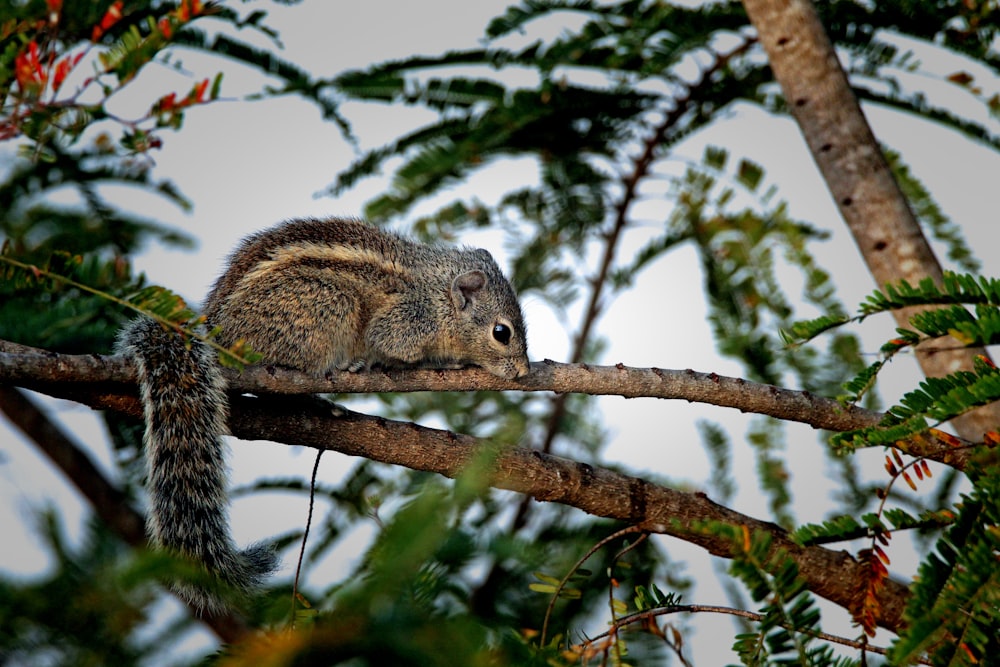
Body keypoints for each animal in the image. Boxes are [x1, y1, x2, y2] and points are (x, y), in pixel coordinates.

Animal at [119, 217, 532, 612]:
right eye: (502, 332)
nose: (524, 371)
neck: (438, 292)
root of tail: (215, 334)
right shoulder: (407, 322)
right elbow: (396, 348)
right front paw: (450, 361)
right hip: (328, 306)